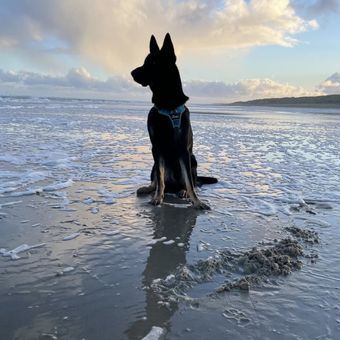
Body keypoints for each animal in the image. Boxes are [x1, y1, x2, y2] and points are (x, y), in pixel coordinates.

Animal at [131, 33, 216, 210]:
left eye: (153, 62)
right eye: (145, 61)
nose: (132, 73)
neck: (167, 103)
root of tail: (173, 186)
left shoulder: (184, 149)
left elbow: (190, 183)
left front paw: (197, 201)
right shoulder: (156, 148)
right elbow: (160, 178)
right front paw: (158, 198)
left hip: (192, 159)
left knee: (190, 182)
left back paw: (183, 191)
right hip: (154, 163)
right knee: (157, 181)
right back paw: (149, 188)